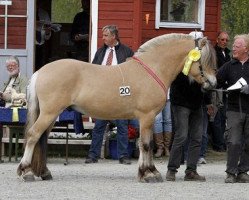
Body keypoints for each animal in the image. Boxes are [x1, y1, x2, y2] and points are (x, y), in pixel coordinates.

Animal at [17, 33, 216, 183]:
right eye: (203, 61)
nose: (213, 84)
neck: (153, 70)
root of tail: (41, 71)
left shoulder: (149, 119)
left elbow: (148, 144)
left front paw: (150, 171)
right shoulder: (147, 116)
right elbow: (146, 144)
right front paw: (148, 174)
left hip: (51, 115)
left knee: (41, 138)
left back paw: (44, 172)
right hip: (49, 113)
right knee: (34, 135)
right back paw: (26, 172)